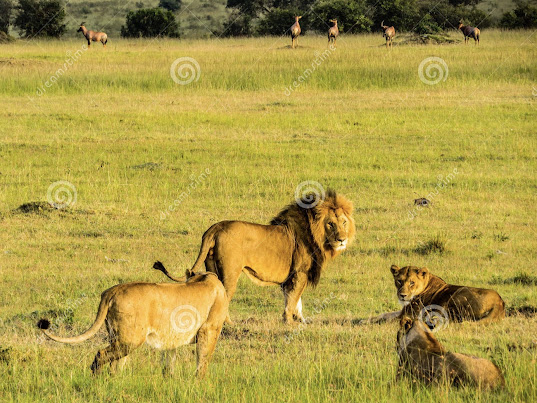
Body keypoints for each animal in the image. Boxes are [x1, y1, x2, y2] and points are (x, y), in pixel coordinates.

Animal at [157, 189, 354, 326]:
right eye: (330, 224)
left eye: (344, 222)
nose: (342, 239)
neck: (316, 235)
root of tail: (216, 227)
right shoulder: (300, 273)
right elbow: (293, 298)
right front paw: (290, 322)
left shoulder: (293, 276)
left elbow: (294, 300)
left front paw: (299, 320)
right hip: (230, 272)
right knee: (225, 295)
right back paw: (228, 323)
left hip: (212, 266)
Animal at [360, 266, 502, 326]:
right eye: (399, 281)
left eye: (412, 282)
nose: (402, 295)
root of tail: (500, 302)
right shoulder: (403, 311)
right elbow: (385, 314)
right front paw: (364, 320)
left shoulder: (409, 314)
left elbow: (387, 319)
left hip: (458, 296)